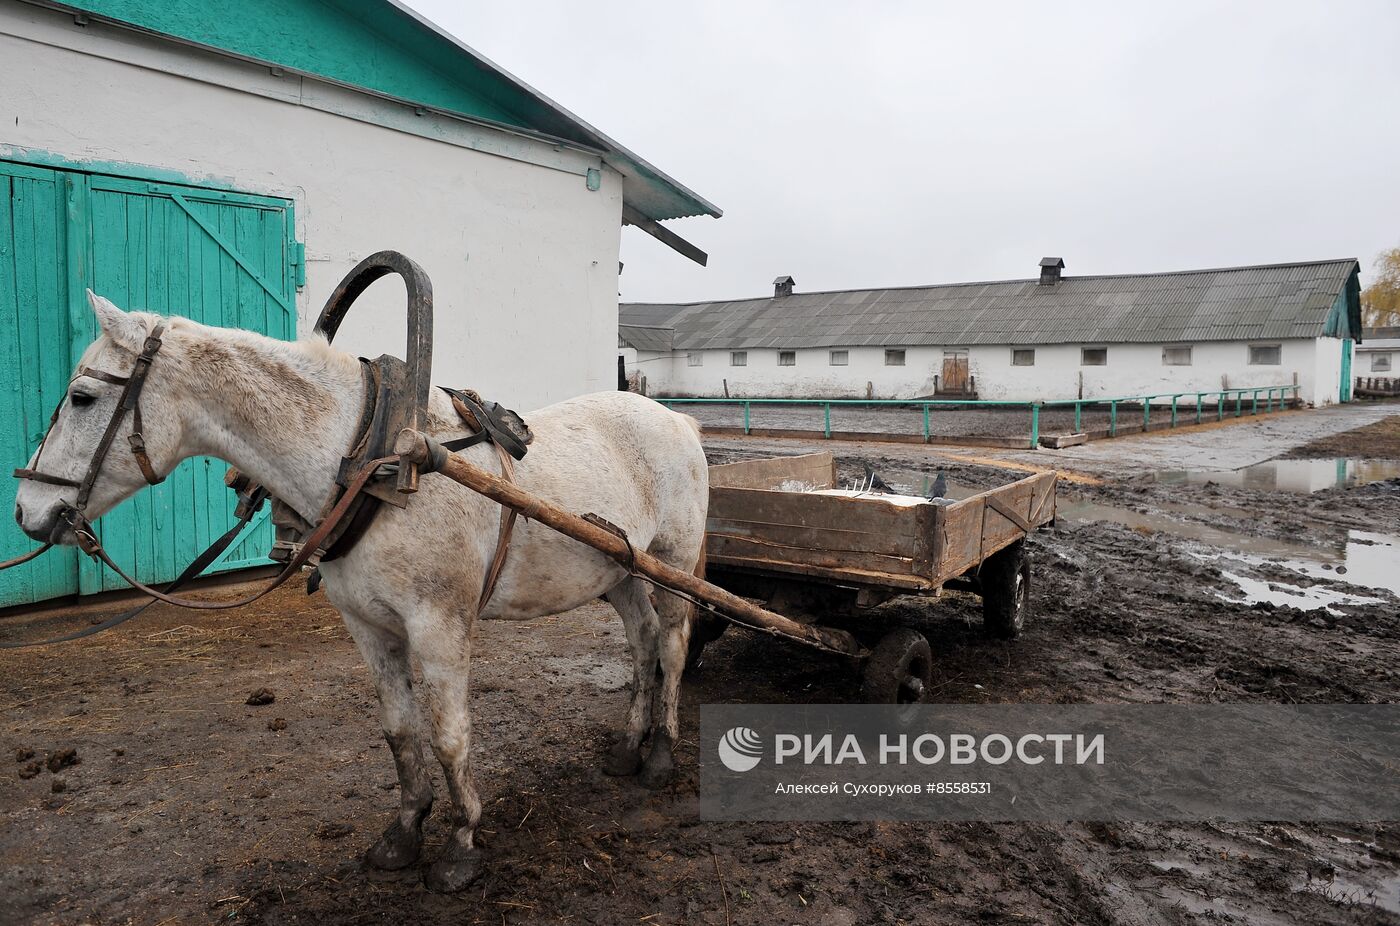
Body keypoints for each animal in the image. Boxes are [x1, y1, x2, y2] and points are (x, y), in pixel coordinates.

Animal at [12, 292, 711, 890]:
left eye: (81, 398)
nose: (28, 511)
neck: (375, 464)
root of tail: (678, 419)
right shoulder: (369, 627)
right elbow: (400, 732)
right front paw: (403, 836)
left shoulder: (439, 626)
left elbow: (449, 735)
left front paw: (460, 846)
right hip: (620, 572)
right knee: (641, 640)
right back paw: (626, 747)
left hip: (672, 562)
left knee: (672, 646)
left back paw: (659, 756)